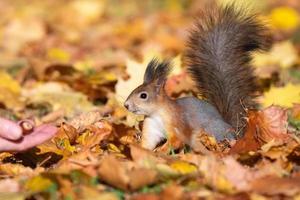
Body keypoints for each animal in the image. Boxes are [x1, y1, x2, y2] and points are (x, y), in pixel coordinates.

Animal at [123, 3, 270, 152]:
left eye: (143, 95)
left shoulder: (178, 124)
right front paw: (136, 147)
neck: (157, 113)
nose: (126, 105)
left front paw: (160, 151)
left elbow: (175, 142)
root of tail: (234, 130)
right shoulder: (151, 128)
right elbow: (148, 144)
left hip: (212, 132)